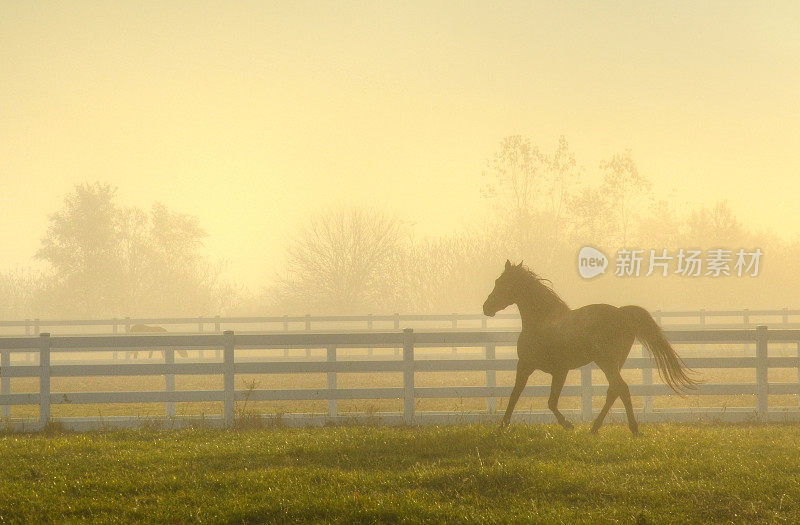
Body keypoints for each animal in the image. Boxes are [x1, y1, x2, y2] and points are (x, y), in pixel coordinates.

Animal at [482, 258, 700, 434]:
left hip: (607, 362)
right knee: (614, 390)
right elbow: (517, 395)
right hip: (614, 363)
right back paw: (596, 428)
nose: (486, 307)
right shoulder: (533, 367)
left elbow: (547, 402)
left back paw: (631, 429)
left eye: (502, 283)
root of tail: (622, 314)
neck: (542, 322)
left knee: (621, 388)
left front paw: (567, 425)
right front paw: (502, 426)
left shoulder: (550, 369)